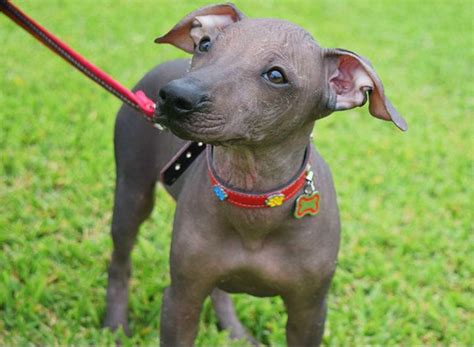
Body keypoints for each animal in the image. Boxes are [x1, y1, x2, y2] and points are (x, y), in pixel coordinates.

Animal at [103, 3, 408, 347]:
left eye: (276, 75)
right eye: (205, 44)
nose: (174, 96)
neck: (253, 198)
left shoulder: (309, 312)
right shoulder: (181, 297)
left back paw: (234, 332)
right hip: (132, 191)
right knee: (120, 261)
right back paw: (115, 325)